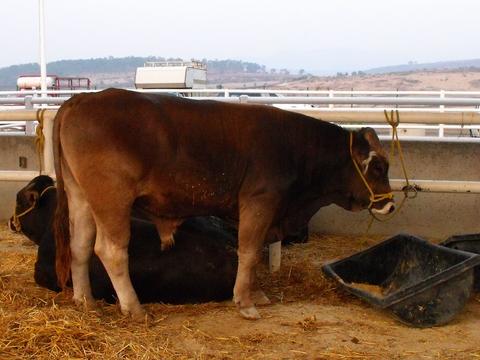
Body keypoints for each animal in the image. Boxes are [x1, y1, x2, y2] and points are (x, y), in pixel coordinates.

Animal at [52, 88, 394, 320]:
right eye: (377, 166)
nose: (390, 206)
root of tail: (82, 98)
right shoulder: (259, 202)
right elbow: (250, 252)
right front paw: (245, 302)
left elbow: (254, 255)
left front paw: (256, 293)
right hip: (112, 200)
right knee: (110, 251)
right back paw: (134, 308)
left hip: (82, 197)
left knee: (80, 246)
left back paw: (85, 301)